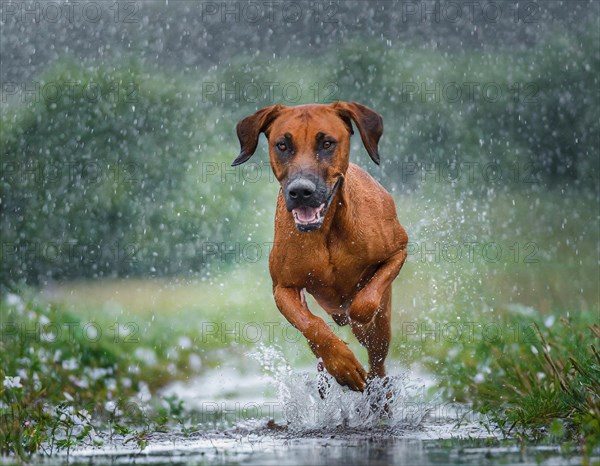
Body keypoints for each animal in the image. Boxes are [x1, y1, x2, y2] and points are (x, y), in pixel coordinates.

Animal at [233, 103, 408, 394]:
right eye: (282, 145)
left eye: (327, 143)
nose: (301, 191)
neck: (327, 229)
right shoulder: (283, 288)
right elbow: (311, 325)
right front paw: (341, 364)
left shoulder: (398, 251)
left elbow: (365, 302)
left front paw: (358, 316)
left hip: (383, 329)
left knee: (377, 359)